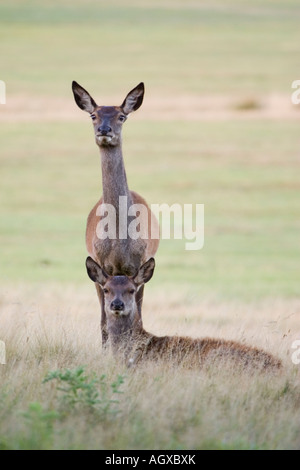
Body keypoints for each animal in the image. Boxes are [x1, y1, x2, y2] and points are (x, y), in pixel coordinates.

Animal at [72, 81, 159, 346]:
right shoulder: (101, 266)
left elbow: (138, 314)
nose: (104, 129)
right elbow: (103, 323)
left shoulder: (138, 265)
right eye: (93, 115)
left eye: (122, 116)